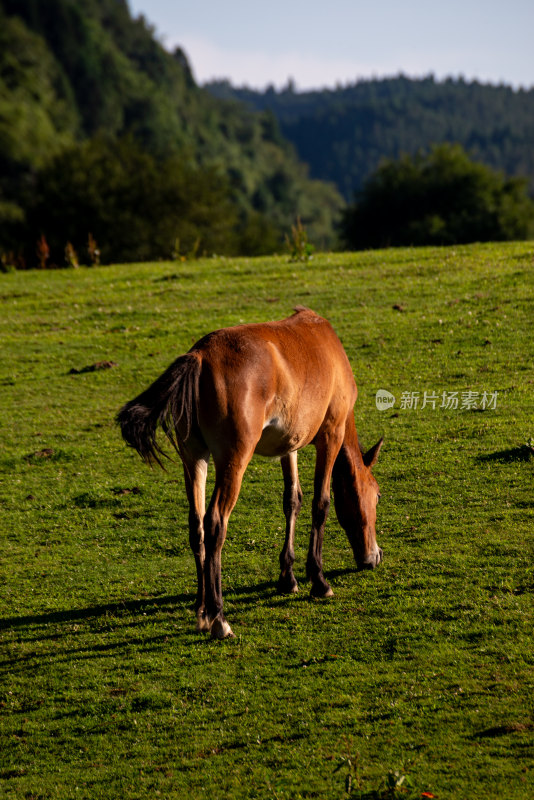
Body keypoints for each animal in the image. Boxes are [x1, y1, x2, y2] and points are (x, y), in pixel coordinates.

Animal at [118, 306, 386, 636]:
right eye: (377, 496)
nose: (374, 557)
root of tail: (200, 356)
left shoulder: (290, 444)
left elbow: (292, 500)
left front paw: (288, 577)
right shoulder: (331, 435)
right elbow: (320, 503)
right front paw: (319, 580)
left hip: (193, 459)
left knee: (197, 525)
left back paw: (202, 607)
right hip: (234, 460)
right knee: (215, 523)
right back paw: (218, 618)